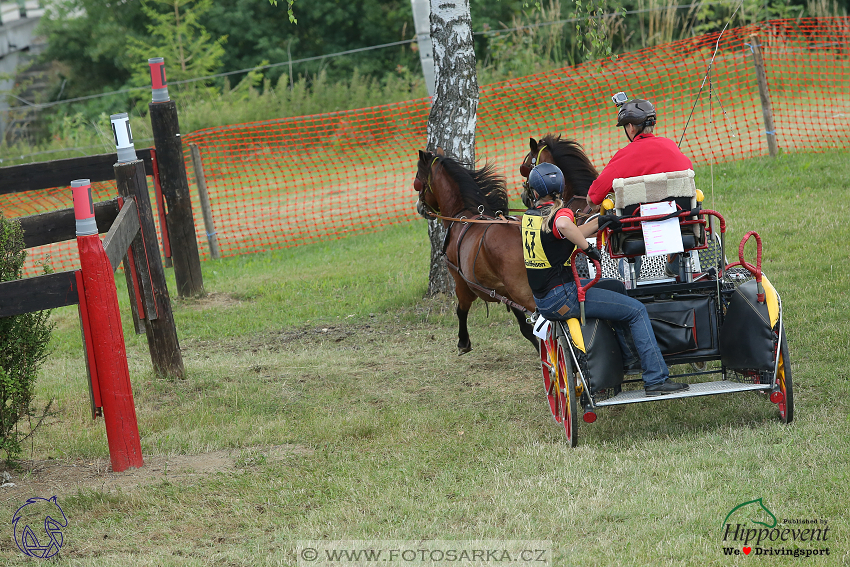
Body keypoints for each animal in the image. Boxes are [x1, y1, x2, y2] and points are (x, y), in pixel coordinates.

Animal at [412, 151, 536, 356]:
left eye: (417, 181)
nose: (419, 206)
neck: (462, 216)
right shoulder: (505, 292)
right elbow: (526, 328)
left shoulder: (462, 281)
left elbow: (461, 310)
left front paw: (463, 342)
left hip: (522, 291)